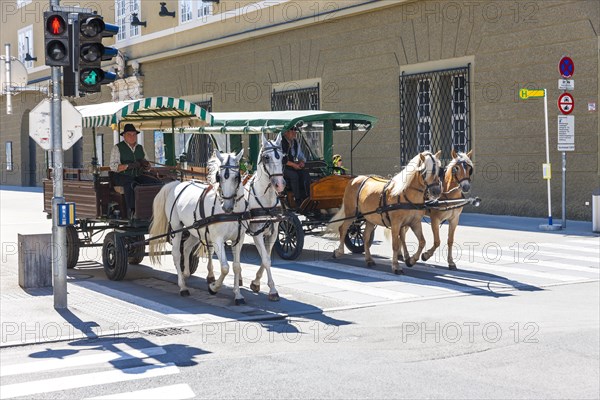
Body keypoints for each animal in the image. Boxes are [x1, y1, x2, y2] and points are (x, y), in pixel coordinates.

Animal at [149, 149, 245, 296]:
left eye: (236, 177)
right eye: (219, 177)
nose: (227, 207)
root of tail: (176, 184)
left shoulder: (238, 239)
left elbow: (236, 267)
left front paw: (238, 295)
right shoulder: (217, 239)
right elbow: (225, 268)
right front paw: (213, 287)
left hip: (195, 229)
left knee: (186, 247)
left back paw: (185, 274)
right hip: (177, 228)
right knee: (176, 253)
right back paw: (182, 286)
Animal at [239, 133, 286, 302]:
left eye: (283, 157)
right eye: (266, 157)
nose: (280, 184)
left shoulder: (272, 233)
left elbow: (267, 257)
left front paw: (256, 282)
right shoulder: (256, 233)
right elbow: (265, 259)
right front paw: (273, 290)